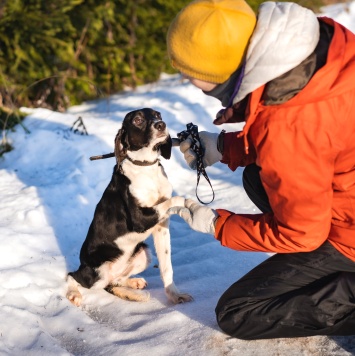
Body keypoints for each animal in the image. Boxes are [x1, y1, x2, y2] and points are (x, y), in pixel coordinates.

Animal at [68, 108, 193, 306]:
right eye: (138, 120)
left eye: (158, 114)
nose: (161, 125)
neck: (146, 167)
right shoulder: (139, 219)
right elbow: (174, 200)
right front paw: (186, 203)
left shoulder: (161, 226)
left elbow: (167, 267)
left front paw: (175, 295)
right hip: (97, 273)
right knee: (72, 276)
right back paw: (74, 294)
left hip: (143, 254)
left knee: (115, 280)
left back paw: (133, 285)